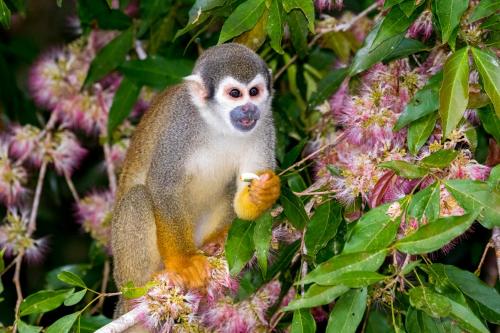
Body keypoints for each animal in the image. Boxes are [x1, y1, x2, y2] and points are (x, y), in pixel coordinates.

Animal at [111, 43, 280, 308]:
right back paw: (144, 287)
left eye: (254, 91)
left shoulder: (265, 126)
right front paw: (185, 262)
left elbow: (244, 198)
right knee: (138, 197)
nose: (249, 108)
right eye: (235, 93)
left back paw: (215, 241)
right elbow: (163, 187)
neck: (218, 125)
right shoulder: (179, 127)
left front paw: (263, 194)